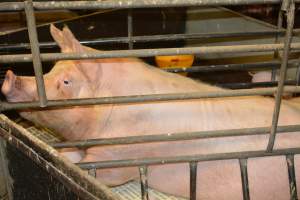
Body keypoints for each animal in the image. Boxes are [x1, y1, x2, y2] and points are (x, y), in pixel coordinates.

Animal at [2, 24, 300, 199]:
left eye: (66, 82)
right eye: (51, 70)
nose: (9, 76)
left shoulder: (121, 159)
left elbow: (92, 169)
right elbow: (70, 156)